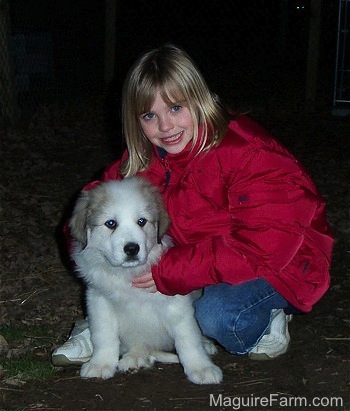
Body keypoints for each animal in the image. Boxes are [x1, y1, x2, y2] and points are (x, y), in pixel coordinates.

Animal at [69, 178, 221, 386]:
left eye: (141, 221)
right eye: (111, 223)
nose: (132, 248)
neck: (128, 275)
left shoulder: (176, 303)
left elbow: (188, 338)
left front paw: (201, 368)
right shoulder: (100, 302)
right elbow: (104, 335)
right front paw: (100, 364)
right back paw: (136, 356)